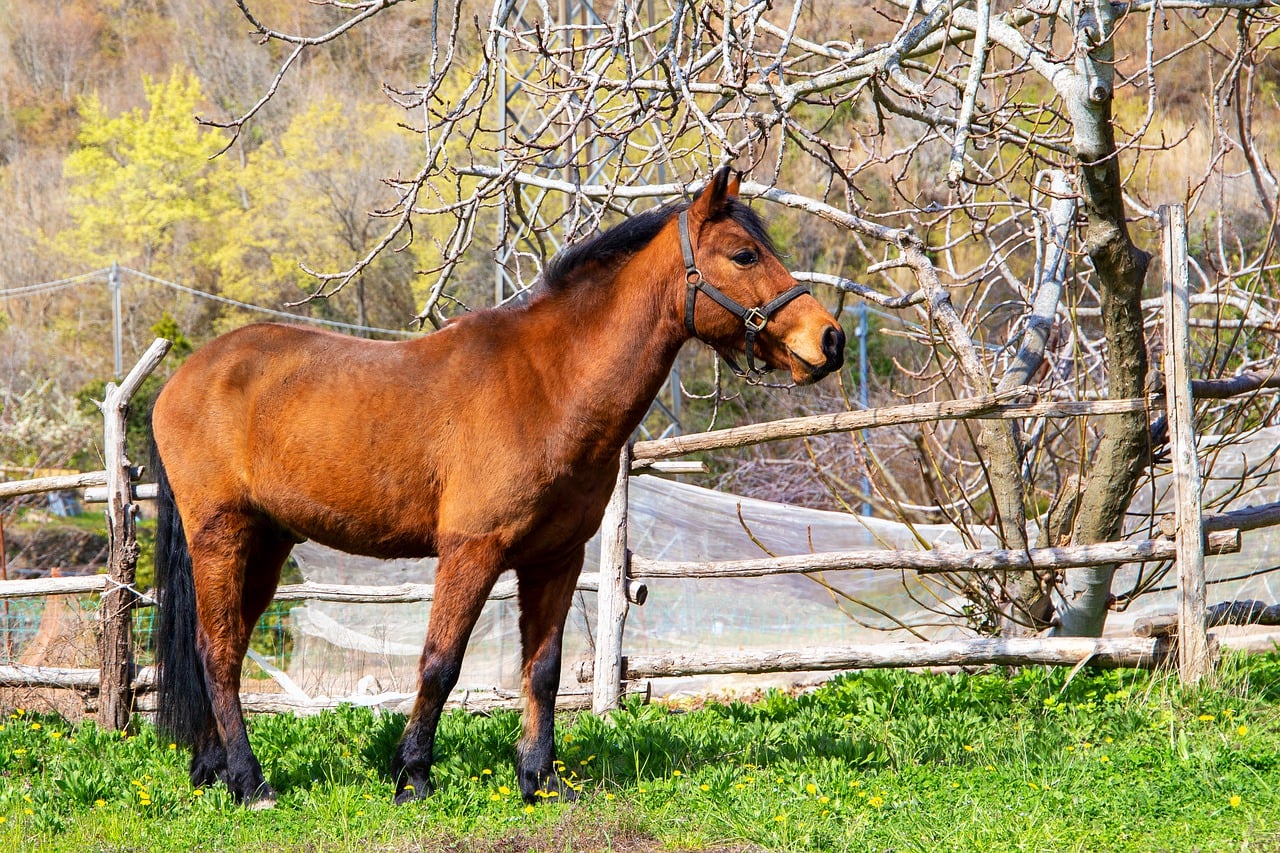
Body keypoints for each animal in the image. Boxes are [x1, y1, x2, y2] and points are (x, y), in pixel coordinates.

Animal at [149, 167, 844, 804]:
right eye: (744, 254)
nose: (831, 340)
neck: (548, 384)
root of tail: (183, 378)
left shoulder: (556, 560)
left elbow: (543, 670)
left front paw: (539, 779)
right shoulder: (471, 552)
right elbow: (440, 662)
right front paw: (412, 777)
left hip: (267, 545)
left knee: (228, 647)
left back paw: (212, 770)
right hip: (223, 537)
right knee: (217, 653)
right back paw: (250, 782)